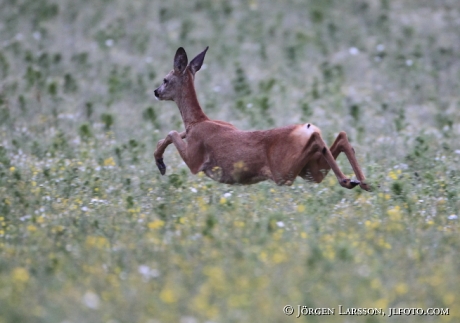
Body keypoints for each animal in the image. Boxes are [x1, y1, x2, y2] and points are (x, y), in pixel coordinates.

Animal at [154, 46, 370, 191]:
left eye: (165, 79)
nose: (156, 91)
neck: (197, 120)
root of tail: (307, 128)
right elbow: (175, 133)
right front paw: (159, 161)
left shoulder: (195, 160)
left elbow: (172, 132)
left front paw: (161, 164)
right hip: (309, 170)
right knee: (340, 137)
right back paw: (362, 182)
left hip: (284, 171)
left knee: (321, 140)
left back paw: (348, 180)